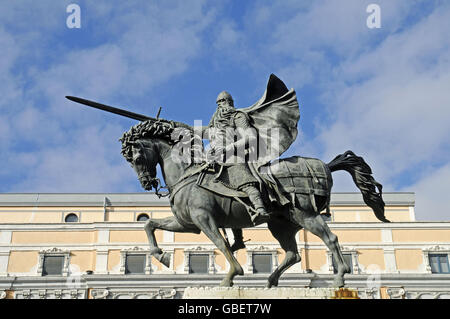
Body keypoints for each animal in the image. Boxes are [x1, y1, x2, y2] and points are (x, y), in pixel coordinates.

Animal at [121, 119, 388, 288]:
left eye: (137, 157)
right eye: (130, 162)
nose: (147, 183)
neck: (187, 173)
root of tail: (325, 166)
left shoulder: (204, 219)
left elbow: (221, 244)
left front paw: (232, 275)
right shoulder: (187, 223)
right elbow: (149, 225)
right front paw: (162, 256)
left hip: (305, 214)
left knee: (330, 239)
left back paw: (340, 278)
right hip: (281, 224)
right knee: (293, 254)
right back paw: (270, 282)